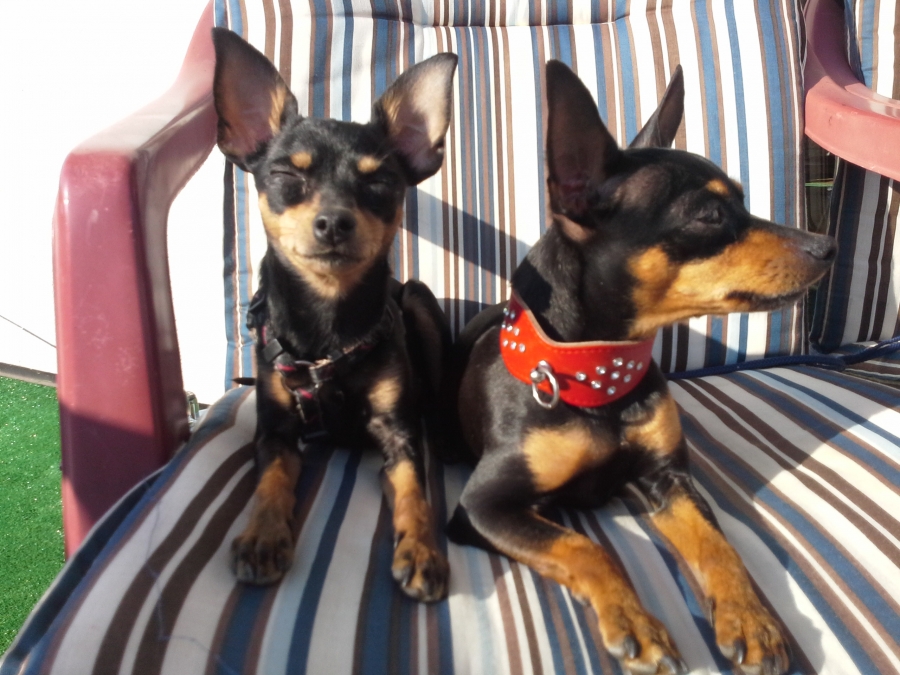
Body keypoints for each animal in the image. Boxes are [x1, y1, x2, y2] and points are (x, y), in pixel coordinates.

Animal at [211, 28, 457, 602]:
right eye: (283, 175)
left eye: (381, 184)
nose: (334, 222)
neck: (329, 328)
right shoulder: (275, 431)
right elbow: (273, 480)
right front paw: (263, 536)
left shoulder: (398, 434)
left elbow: (413, 492)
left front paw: (421, 550)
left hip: (417, 298)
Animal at [447, 61, 836, 673]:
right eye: (709, 215)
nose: (828, 246)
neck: (598, 375)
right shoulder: (483, 504)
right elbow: (582, 545)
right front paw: (633, 620)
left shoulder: (668, 478)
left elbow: (719, 547)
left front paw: (752, 621)